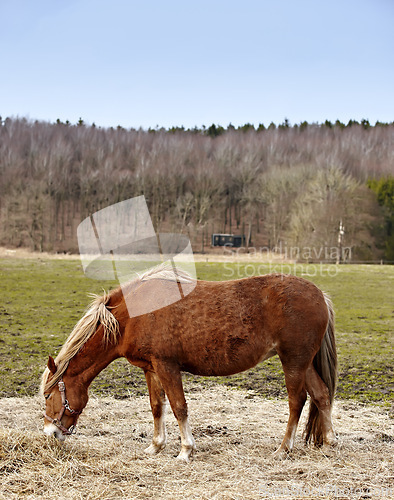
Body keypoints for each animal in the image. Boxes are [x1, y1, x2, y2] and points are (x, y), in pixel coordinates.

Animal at [40, 264, 338, 462]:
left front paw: (185, 450)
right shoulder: (151, 368)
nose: (50, 433)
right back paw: (330, 443)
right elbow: (157, 407)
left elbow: (179, 407)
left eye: (49, 395)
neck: (134, 314)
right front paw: (156, 446)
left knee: (296, 401)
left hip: (293, 361)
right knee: (322, 395)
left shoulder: (167, 366)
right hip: (304, 363)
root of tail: (321, 295)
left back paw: (283, 448)